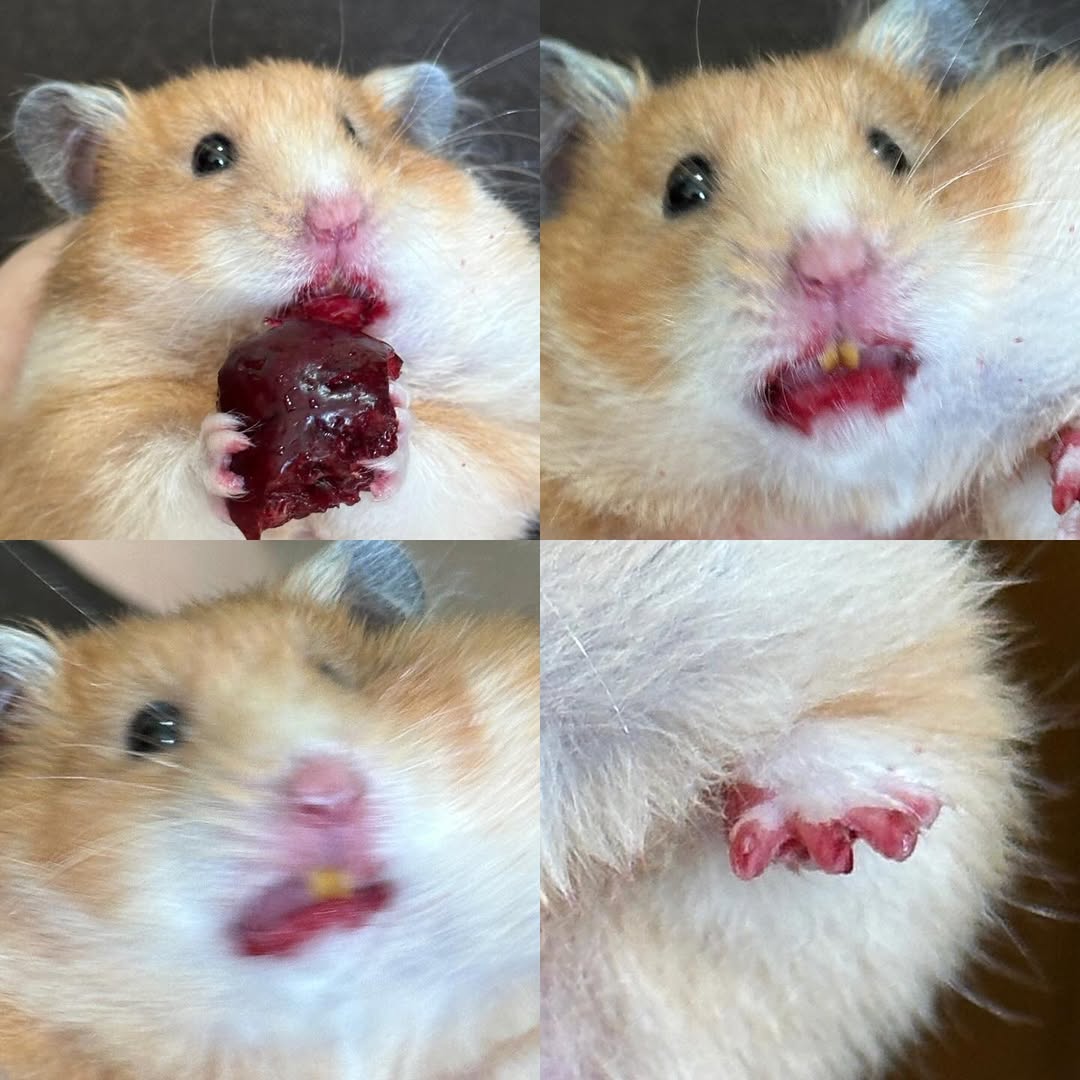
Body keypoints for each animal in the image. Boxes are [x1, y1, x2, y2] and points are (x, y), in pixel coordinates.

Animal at [2, 59, 538, 539]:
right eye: (209, 156)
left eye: (355, 134)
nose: (338, 217)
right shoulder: (72, 447)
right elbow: (154, 470)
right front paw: (222, 447)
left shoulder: (500, 438)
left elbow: (445, 474)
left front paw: (401, 423)